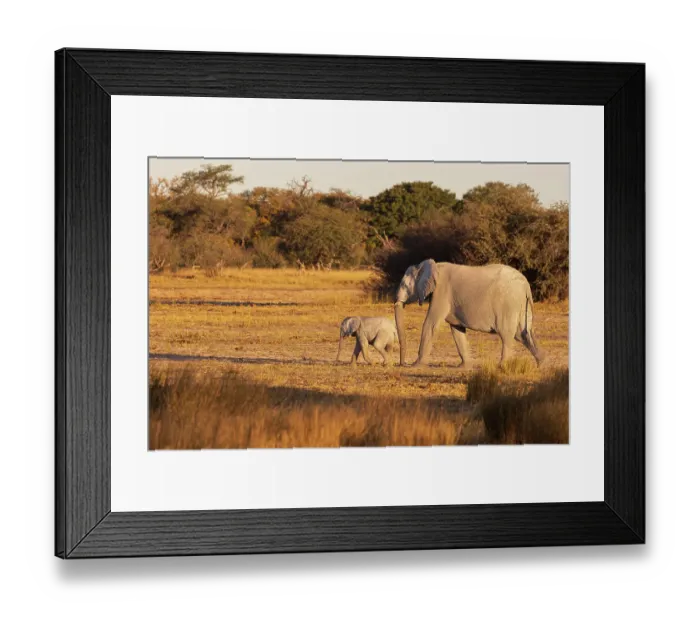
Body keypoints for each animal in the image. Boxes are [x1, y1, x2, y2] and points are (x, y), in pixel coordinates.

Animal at [393, 259, 544, 368]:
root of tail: (526, 285)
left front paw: (416, 366)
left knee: (507, 335)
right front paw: (463, 367)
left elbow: (431, 324)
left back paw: (501, 366)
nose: (403, 364)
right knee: (523, 334)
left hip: (508, 304)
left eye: (405, 286)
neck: (431, 266)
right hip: (520, 304)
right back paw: (542, 364)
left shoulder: (441, 292)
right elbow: (457, 329)